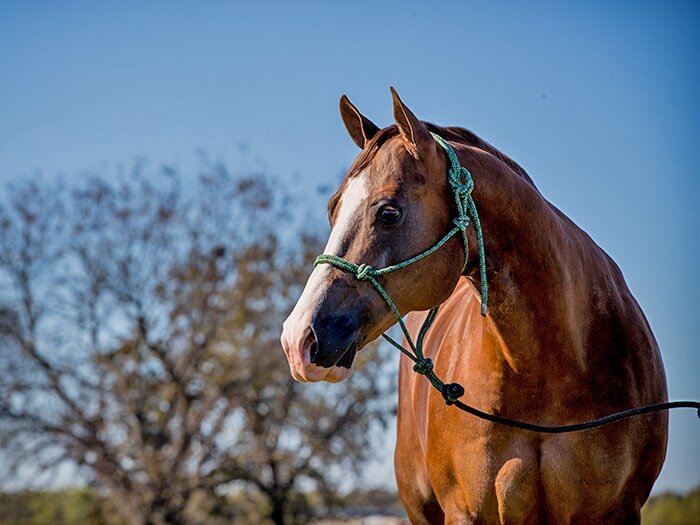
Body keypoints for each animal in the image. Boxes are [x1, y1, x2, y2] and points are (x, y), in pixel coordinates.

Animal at [280, 88, 668, 524]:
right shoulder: (466, 512)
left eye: (389, 212)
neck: (555, 368)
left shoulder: (618, 511)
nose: (297, 338)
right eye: (333, 208)